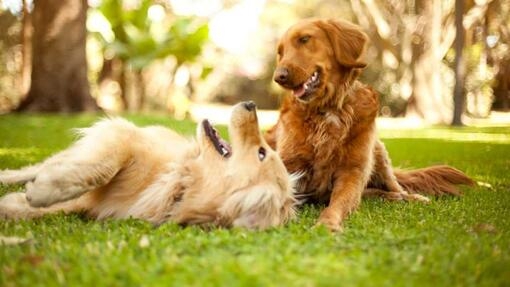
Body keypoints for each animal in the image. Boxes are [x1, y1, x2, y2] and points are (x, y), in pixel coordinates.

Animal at [0, 102, 296, 231]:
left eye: (261, 153)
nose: (251, 103)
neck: (180, 183)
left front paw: (17, 203)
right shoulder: (124, 136)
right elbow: (102, 168)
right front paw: (43, 191)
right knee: (37, 167)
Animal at [264, 18, 476, 232]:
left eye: (304, 39)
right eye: (280, 52)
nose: (278, 77)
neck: (328, 109)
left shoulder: (352, 172)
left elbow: (337, 204)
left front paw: (327, 224)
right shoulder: (289, 165)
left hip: (379, 153)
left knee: (395, 186)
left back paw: (410, 197)